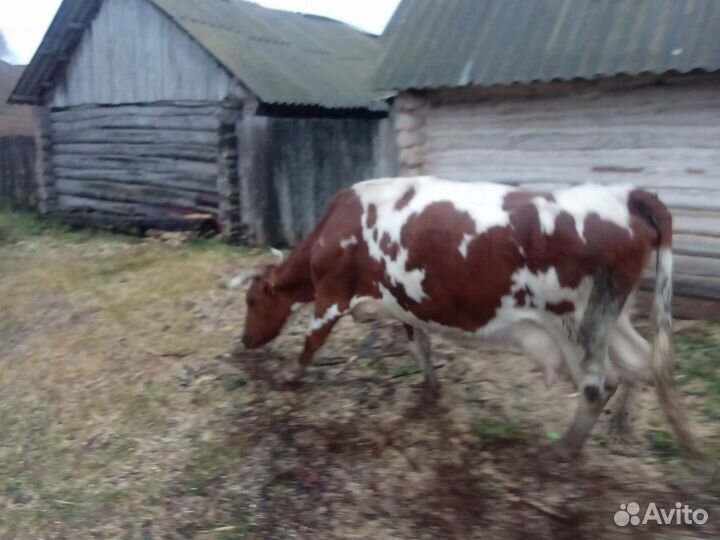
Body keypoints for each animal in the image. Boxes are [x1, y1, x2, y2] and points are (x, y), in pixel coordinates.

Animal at [231, 176, 704, 462]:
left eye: (251, 301)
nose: (244, 340)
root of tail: (626, 195)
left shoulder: (331, 295)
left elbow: (311, 341)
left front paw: (290, 378)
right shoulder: (403, 301)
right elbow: (419, 344)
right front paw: (430, 388)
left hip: (576, 323)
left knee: (597, 386)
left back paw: (563, 451)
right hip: (614, 314)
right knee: (641, 360)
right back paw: (621, 426)